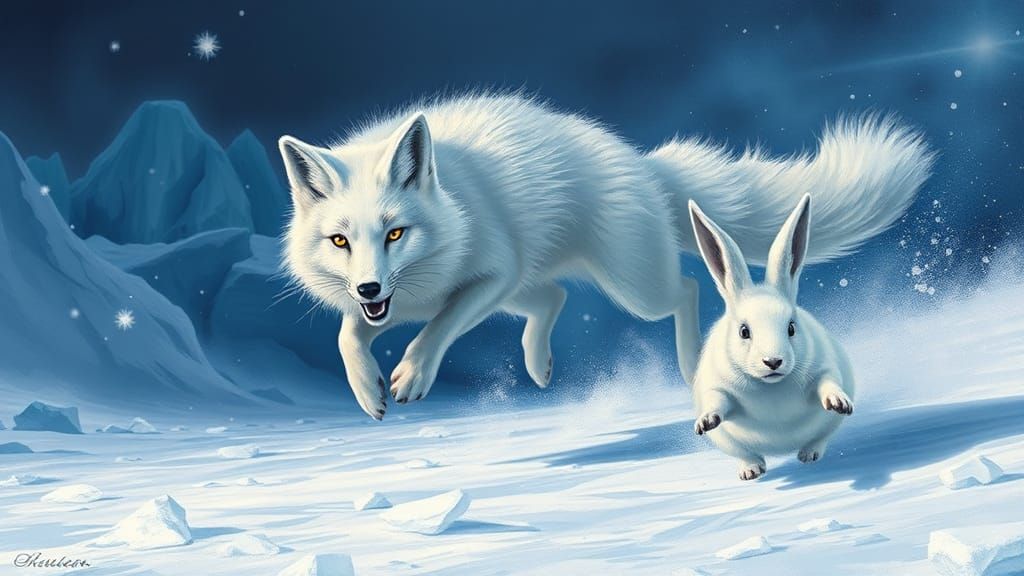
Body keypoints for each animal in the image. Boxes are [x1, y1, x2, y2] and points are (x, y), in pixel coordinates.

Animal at [278, 93, 932, 420]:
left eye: (394, 234)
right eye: (340, 241)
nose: (368, 288)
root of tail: (640, 161)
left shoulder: (487, 277)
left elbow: (435, 330)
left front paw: (411, 375)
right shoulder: (404, 302)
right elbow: (346, 336)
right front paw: (368, 392)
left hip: (629, 286)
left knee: (686, 290)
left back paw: (689, 362)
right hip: (529, 288)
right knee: (556, 295)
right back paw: (539, 364)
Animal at [687, 194, 855, 481]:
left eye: (791, 328)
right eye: (744, 331)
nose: (773, 362)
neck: (771, 385)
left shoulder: (824, 367)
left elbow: (828, 382)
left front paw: (838, 401)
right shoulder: (717, 385)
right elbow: (717, 400)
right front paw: (707, 420)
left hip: (828, 427)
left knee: (820, 439)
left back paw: (808, 454)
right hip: (730, 444)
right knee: (747, 454)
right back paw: (751, 470)